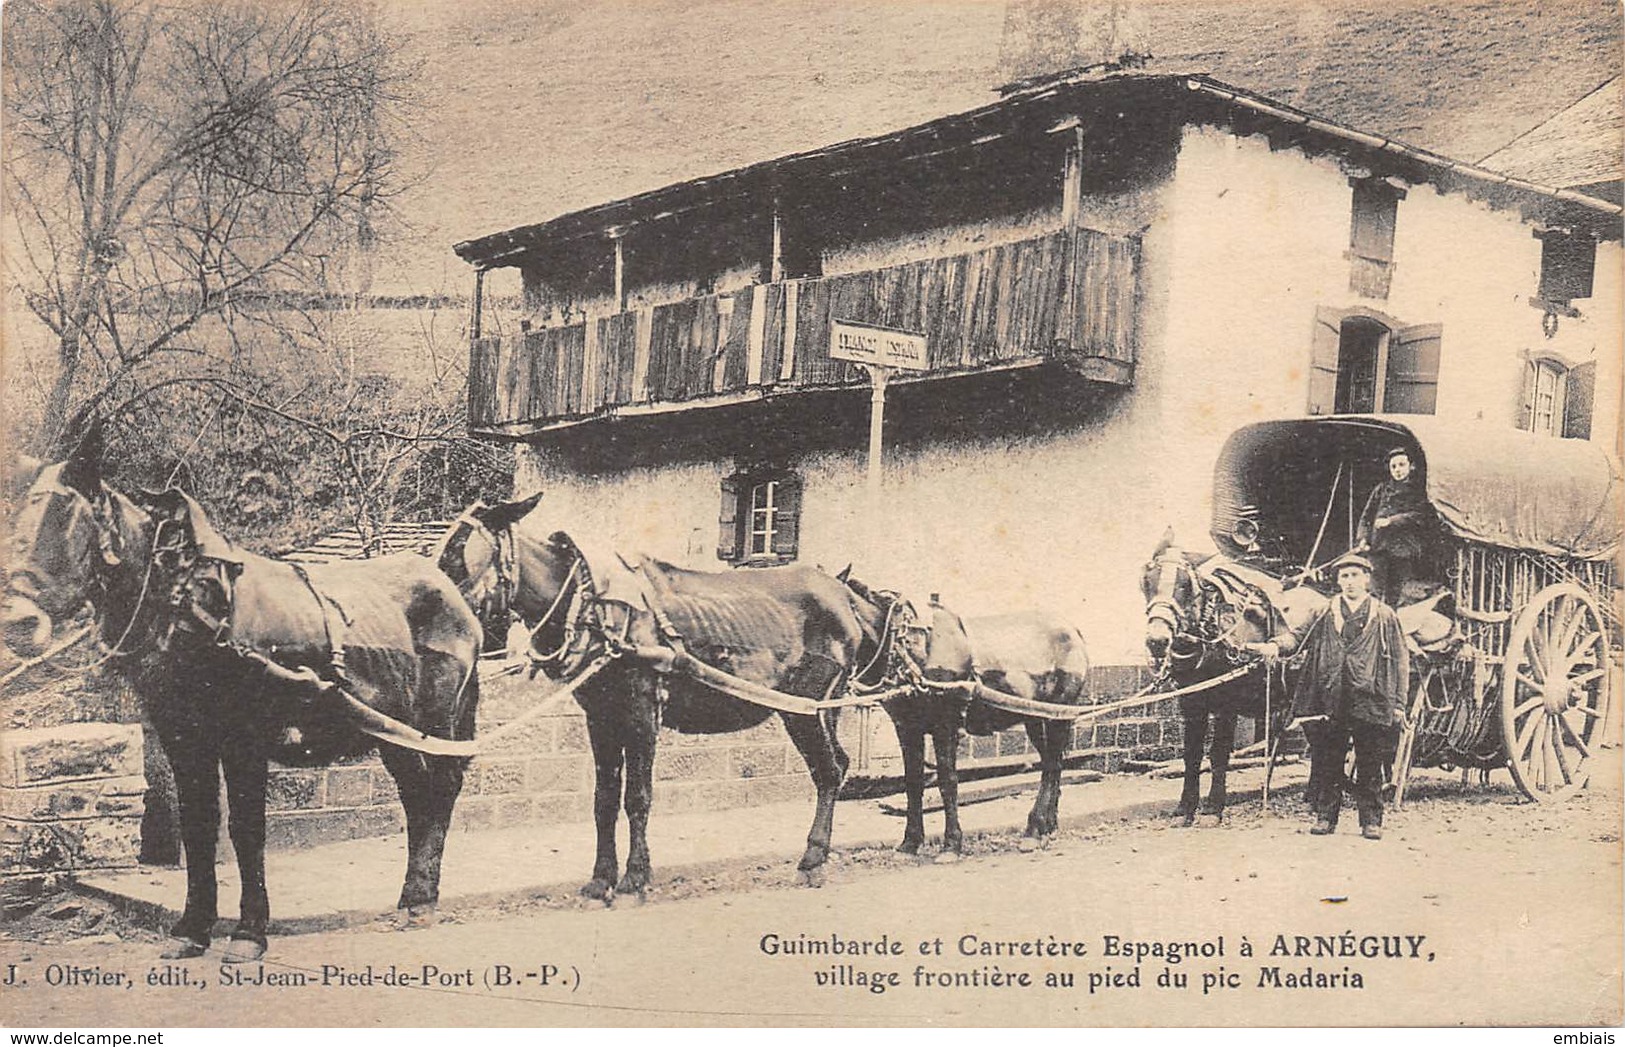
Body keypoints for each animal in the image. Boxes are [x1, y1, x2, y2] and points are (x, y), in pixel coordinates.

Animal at [1, 422, 481, 955]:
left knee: (442, 788)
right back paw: (411, 896)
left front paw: (249, 932)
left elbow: (246, 829)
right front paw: (192, 928)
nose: (17, 623)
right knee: (416, 794)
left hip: (438, 720)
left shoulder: (243, 736)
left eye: (65, 517)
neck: (186, 603)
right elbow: (199, 826)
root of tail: (451, 588)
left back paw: (422, 900)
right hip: (393, 730)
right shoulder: (182, 735)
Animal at [432, 494, 864, 897]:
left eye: (457, 557)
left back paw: (812, 860)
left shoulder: (642, 711)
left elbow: (638, 797)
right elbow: (604, 799)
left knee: (828, 771)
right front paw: (600, 880)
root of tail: (841, 594)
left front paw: (634, 878)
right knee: (838, 765)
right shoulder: (600, 715)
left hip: (806, 707)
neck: (593, 607)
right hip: (820, 709)